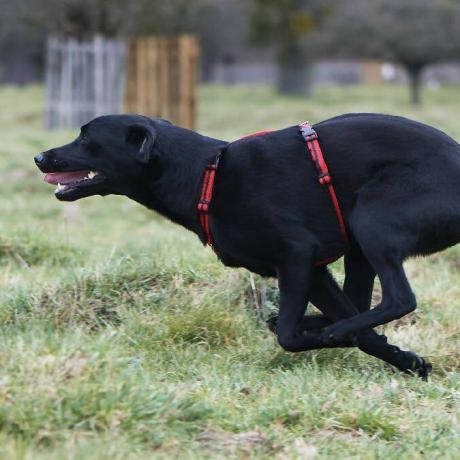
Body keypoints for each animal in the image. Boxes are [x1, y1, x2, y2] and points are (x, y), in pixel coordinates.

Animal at [35, 113, 460, 380]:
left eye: (86, 138)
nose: (40, 156)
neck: (208, 175)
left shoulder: (297, 254)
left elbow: (289, 337)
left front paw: (335, 338)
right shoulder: (313, 270)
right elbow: (356, 329)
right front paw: (408, 361)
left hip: (371, 219)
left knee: (398, 299)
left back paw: (331, 330)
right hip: (357, 238)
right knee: (358, 301)